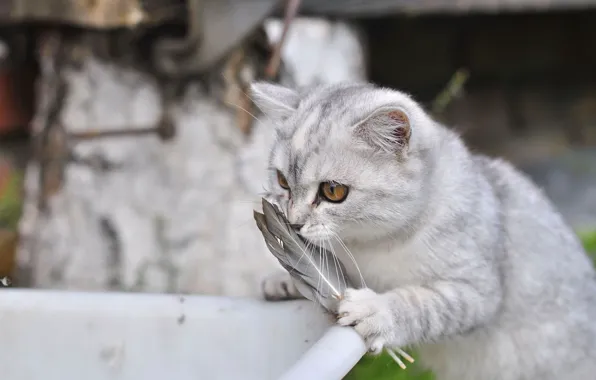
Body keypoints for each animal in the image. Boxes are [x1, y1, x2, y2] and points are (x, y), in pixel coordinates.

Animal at [250, 81, 596, 380]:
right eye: (282, 181)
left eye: (333, 191)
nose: (293, 222)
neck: (368, 246)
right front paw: (285, 279)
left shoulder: (477, 290)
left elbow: (421, 304)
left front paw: (377, 311)